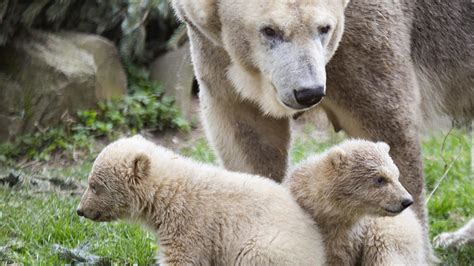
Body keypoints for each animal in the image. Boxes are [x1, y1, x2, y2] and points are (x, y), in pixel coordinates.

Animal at [173, 0, 474, 256]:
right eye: (269, 30)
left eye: (324, 28)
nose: (309, 92)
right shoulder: (211, 46)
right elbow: (250, 140)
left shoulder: (364, 36)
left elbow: (387, 127)